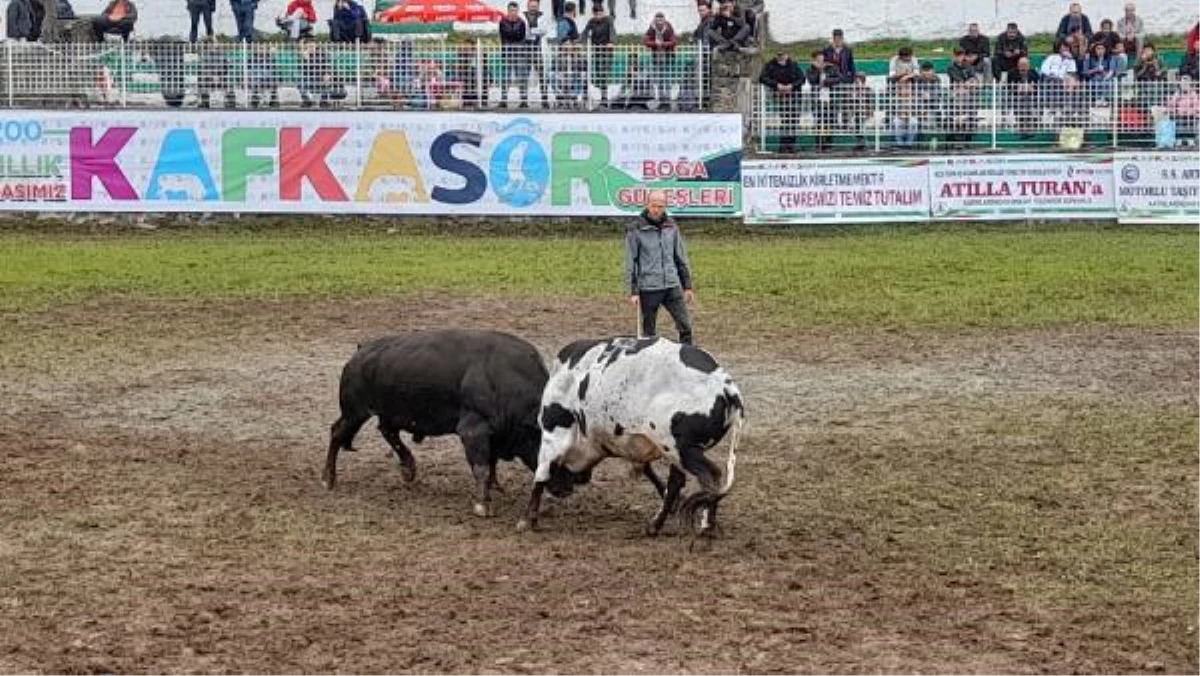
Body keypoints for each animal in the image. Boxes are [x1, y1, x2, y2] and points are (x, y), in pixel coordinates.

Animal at [319, 331, 544, 516]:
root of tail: (360, 352)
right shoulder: (473, 431)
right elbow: (482, 467)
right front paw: (483, 504)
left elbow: (491, 462)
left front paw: (494, 488)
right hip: (355, 413)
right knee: (337, 433)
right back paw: (327, 479)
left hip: (382, 414)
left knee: (387, 431)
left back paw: (409, 468)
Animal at [513, 336, 739, 537]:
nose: (564, 490)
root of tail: (726, 386)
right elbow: (649, 471)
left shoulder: (555, 432)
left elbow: (542, 473)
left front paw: (527, 519)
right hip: (676, 451)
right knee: (679, 483)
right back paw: (658, 525)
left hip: (681, 448)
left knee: (711, 475)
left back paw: (705, 525)